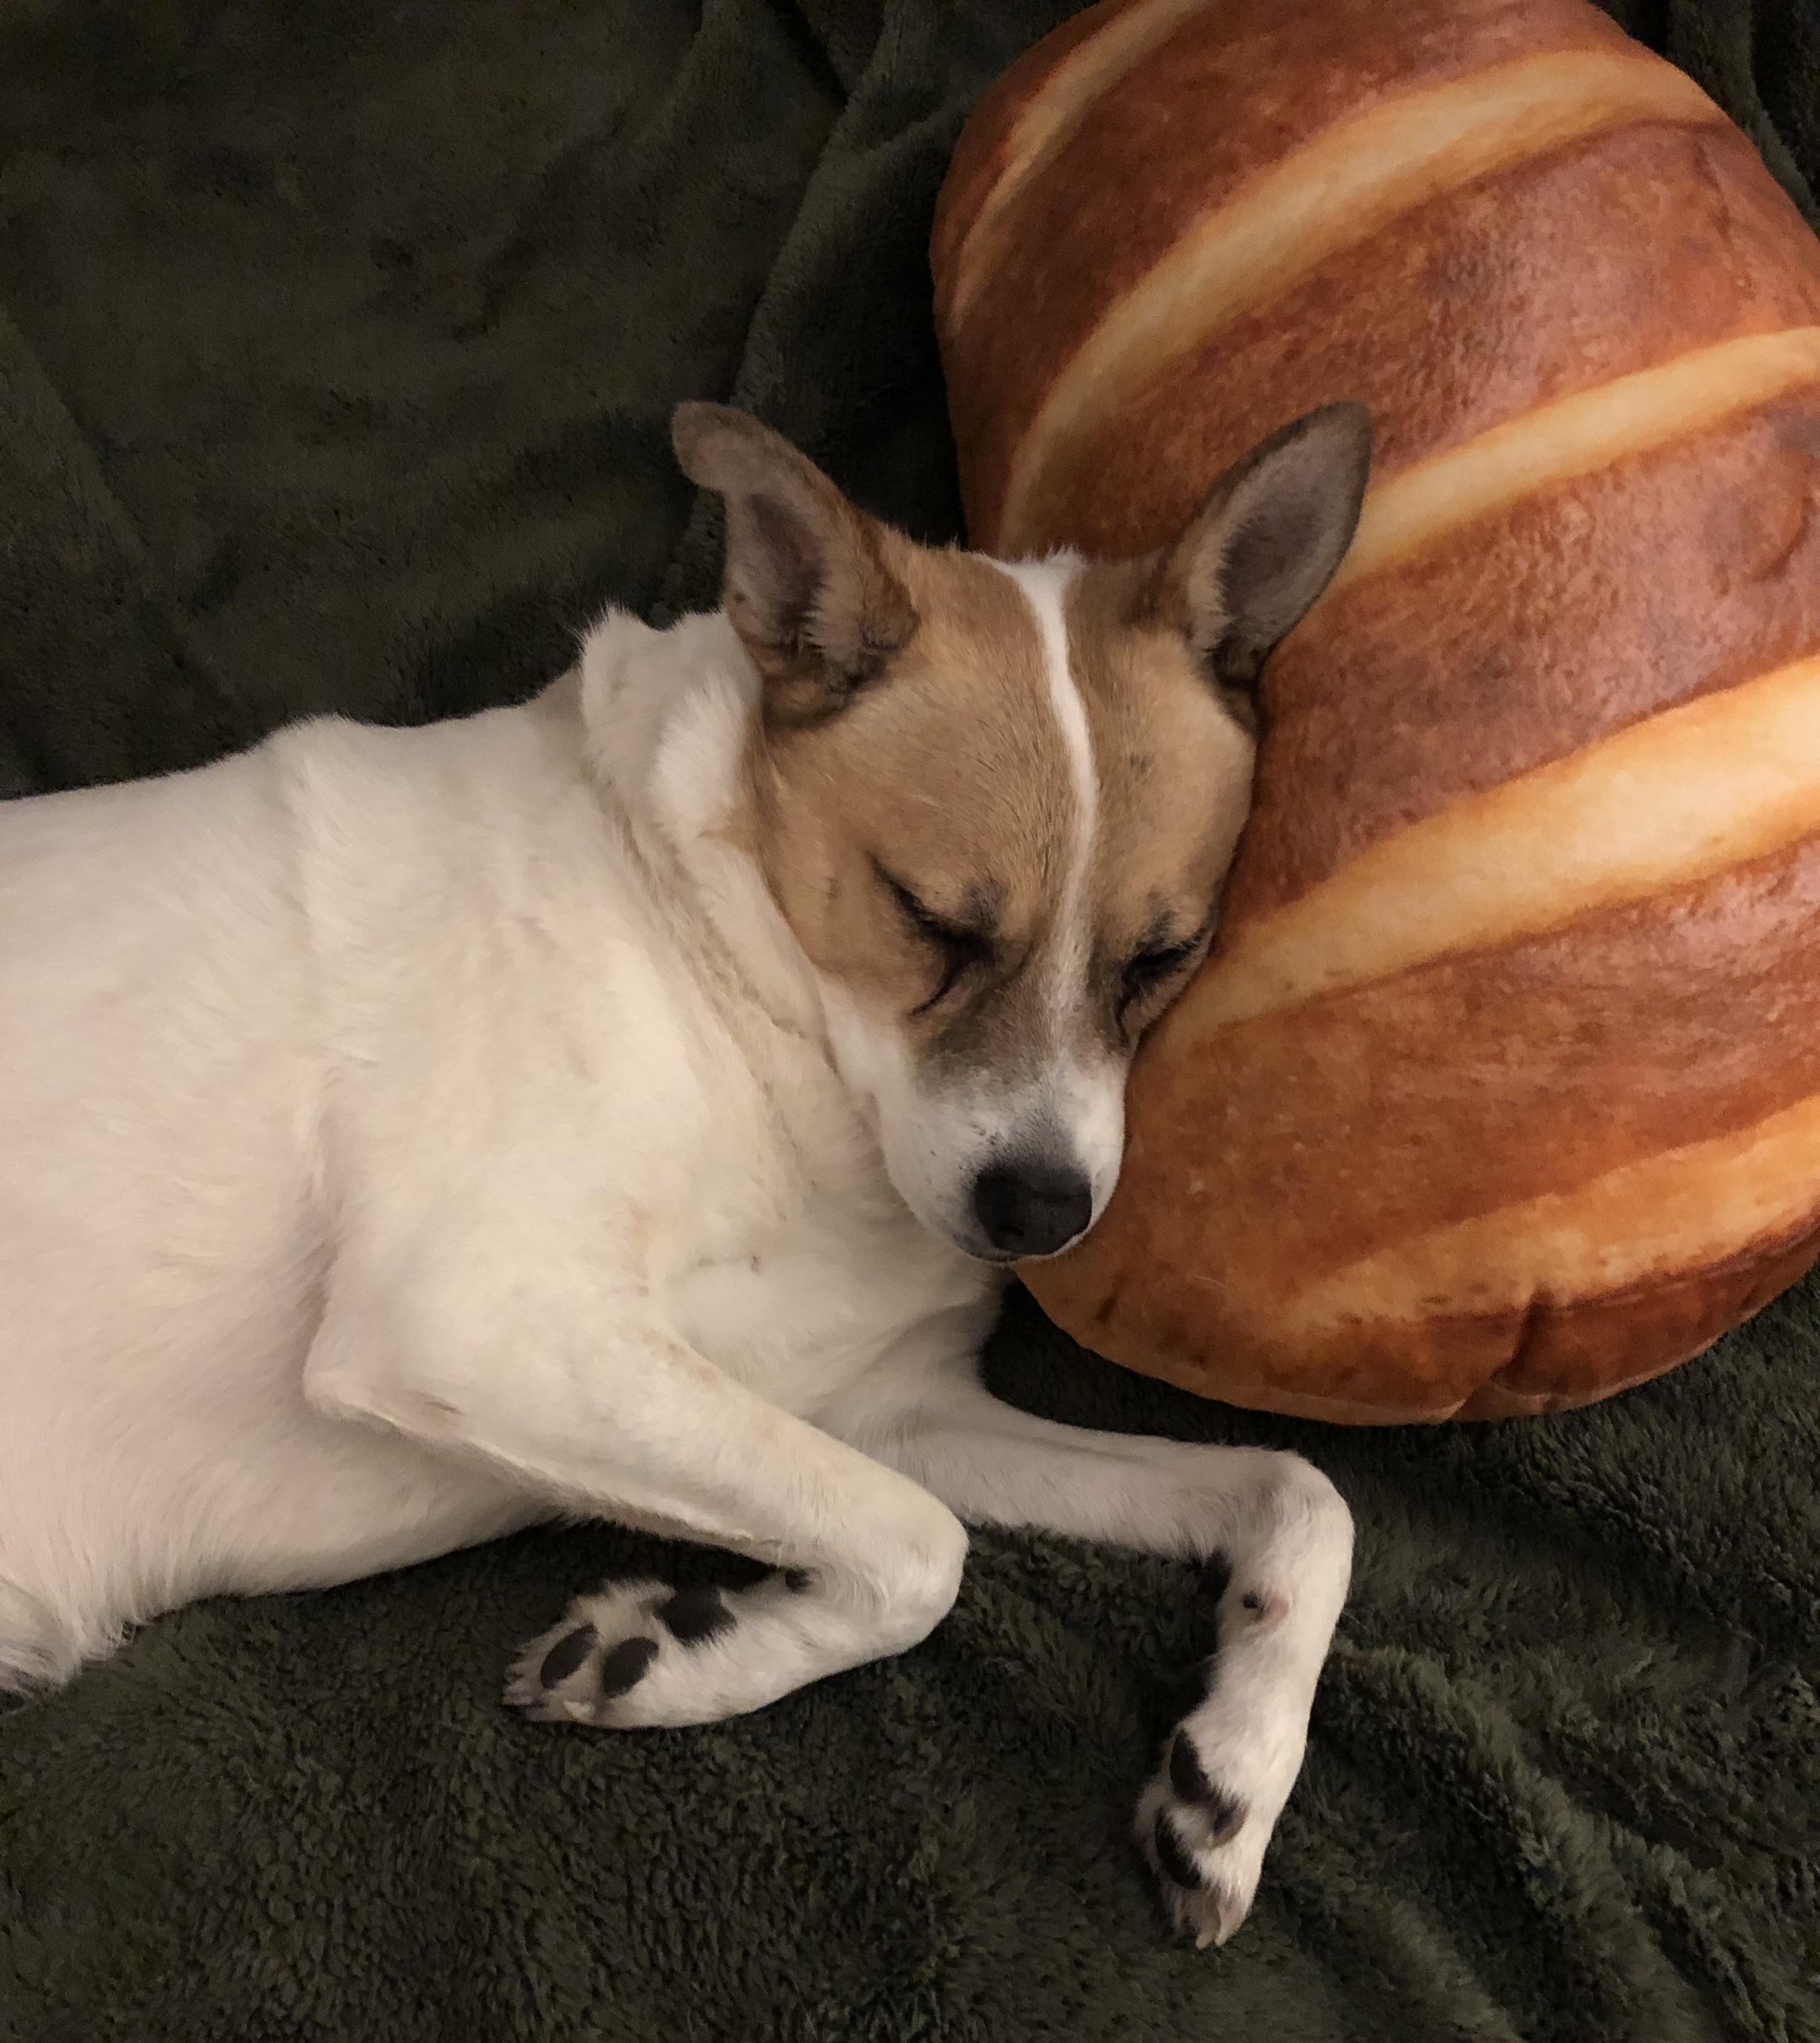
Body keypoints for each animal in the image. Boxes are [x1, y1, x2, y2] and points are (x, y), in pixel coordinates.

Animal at [0, 398, 1371, 1945]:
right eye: (925, 918)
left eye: (1161, 955)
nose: (1039, 1212)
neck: (749, 1004)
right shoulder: (471, 1320)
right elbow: (921, 1551)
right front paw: (685, 1654)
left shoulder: (881, 1405)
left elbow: (1299, 1494)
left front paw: (1233, 1773)